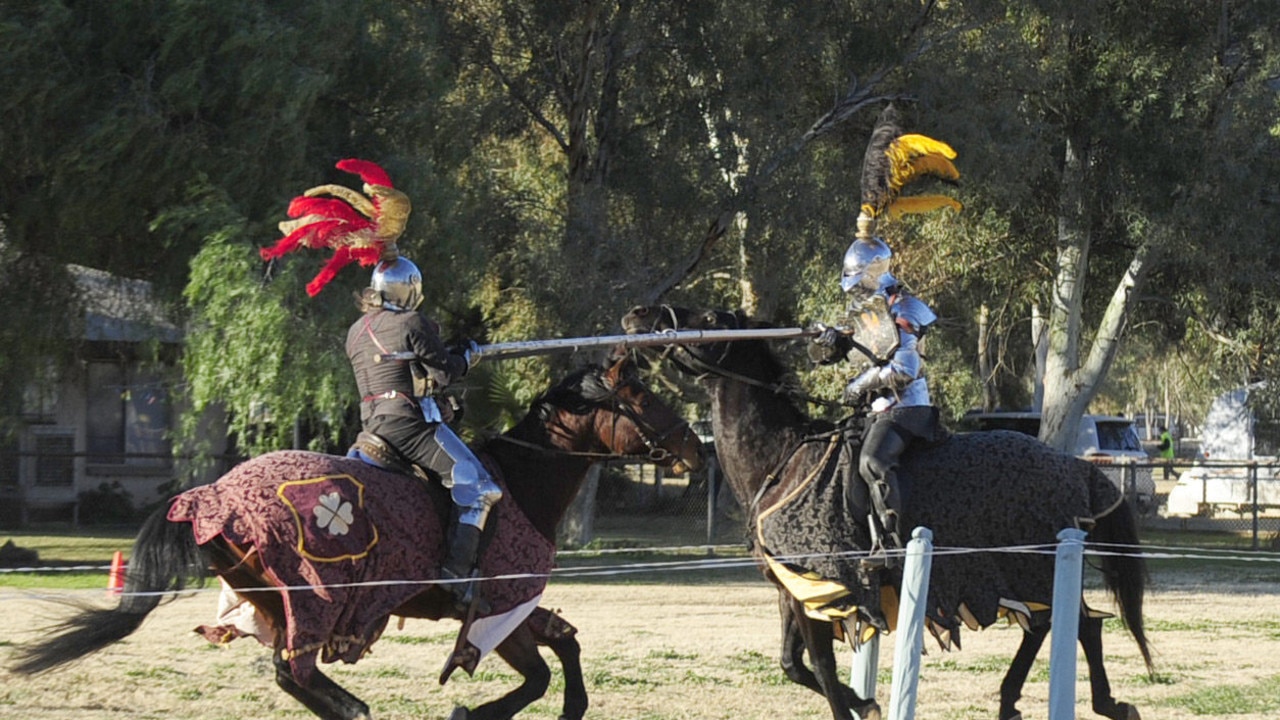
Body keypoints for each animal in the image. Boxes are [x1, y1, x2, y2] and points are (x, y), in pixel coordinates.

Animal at [10, 356, 701, 717]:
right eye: (641, 394)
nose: (694, 447)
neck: (524, 481)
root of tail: (208, 498)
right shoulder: (494, 609)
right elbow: (535, 675)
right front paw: (466, 712)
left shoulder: (516, 606)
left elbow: (566, 648)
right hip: (311, 600)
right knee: (294, 670)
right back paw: (359, 710)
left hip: (272, 601)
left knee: (289, 673)